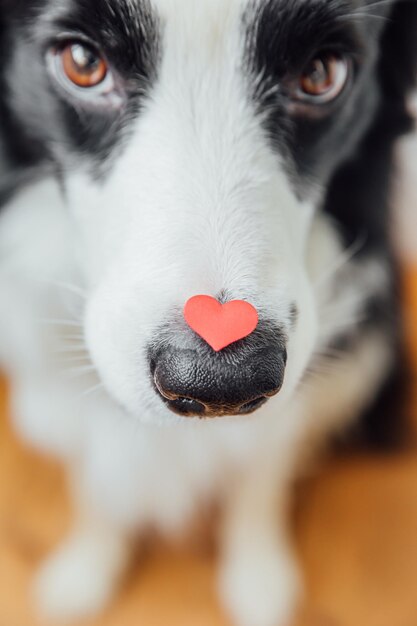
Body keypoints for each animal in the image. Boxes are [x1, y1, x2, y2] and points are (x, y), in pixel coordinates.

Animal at [0, 0, 414, 620]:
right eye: (82, 63)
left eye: (322, 73)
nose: (222, 384)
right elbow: (99, 485)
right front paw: (86, 569)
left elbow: (260, 476)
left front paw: (259, 578)